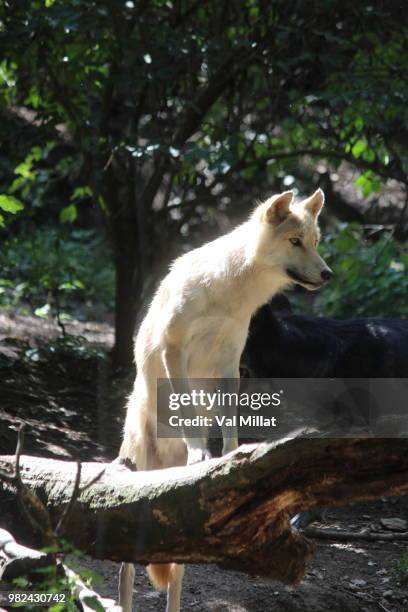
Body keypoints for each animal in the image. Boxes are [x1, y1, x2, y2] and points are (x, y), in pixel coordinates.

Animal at [117, 190, 332, 612]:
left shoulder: (230, 363)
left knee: (175, 581)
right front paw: (200, 452)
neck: (230, 293)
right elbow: (186, 409)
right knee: (125, 575)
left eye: (315, 241)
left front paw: (231, 456)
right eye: (294, 241)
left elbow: (230, 418)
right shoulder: (173, 351)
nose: (327, 273)